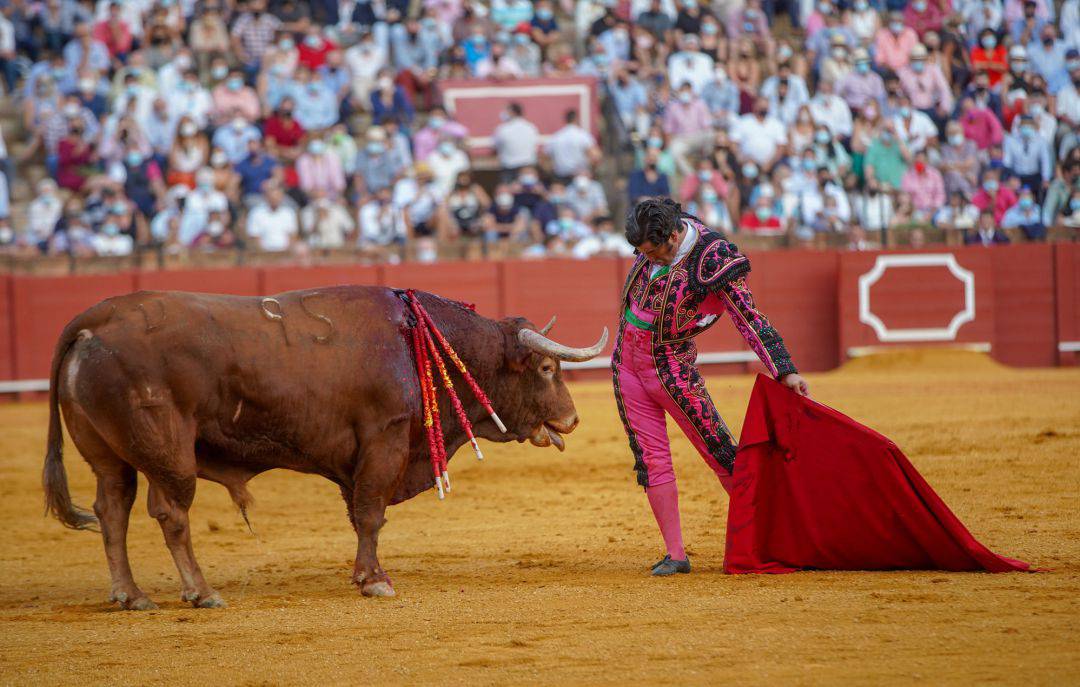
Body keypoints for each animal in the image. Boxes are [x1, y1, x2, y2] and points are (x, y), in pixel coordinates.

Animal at [42, 287, 609, 609]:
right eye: (547, 368)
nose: (572, 419)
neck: (412, 339)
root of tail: (92, 323)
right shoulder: (384, 440)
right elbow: (372, 512)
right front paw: (374, 581)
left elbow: (360, 515)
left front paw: (365, 575)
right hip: (168, 452)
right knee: (170, 513)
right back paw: (201, 593)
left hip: (110, 457)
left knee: (111, 510)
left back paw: (130, 595)